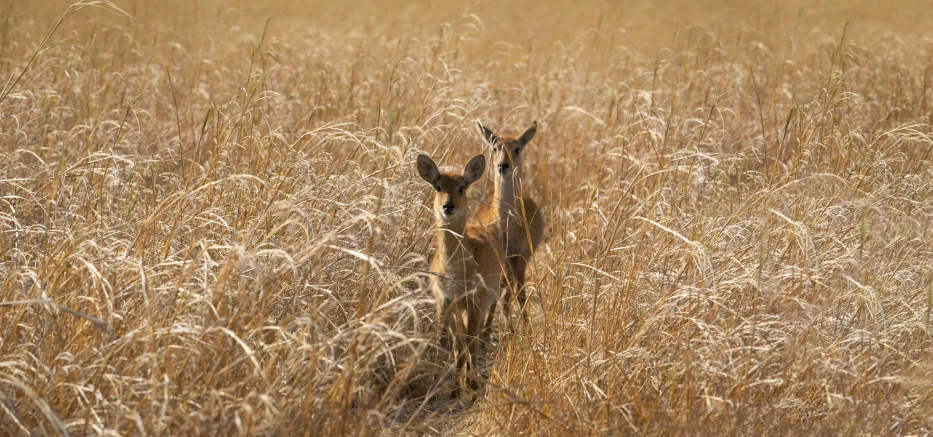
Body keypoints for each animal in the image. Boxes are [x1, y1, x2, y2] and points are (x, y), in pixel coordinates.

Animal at [416, 152, 502, 396]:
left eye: (462, 187)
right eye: (437, 186)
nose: (448, 206)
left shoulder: (475, 299)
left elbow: (471, 340)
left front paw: (472, 386)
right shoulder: (444, 299)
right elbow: (444, 340)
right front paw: (440, 384)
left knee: (472, 338)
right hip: (458, 309)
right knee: (460, 342)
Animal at [476, 119, 544, 330]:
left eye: (517, 148)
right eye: (495, 147)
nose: (502, 166)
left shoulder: (520, 257)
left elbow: (520, 295)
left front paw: (527, 330)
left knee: (509, 293)